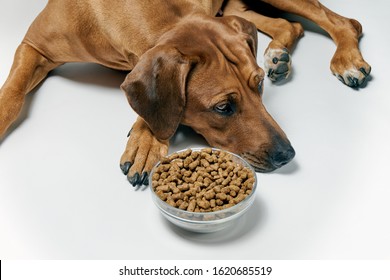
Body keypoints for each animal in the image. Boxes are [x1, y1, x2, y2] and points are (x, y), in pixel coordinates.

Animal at [0, 0, 370, 186]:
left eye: (259, 85)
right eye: (223, 107)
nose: (287, 155)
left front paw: (146, 140)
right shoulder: (33, 45)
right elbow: (12, 95)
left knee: (343, 21)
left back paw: (347, 60)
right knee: (287, 24)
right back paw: (278, 52)